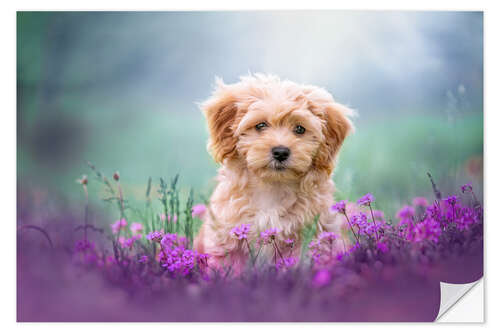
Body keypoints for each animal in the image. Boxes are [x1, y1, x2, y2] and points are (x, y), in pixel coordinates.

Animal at [193, 73, 354, 270]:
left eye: (299, 129)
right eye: (261, 125)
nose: (281, 152)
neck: (272, 187)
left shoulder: (312, 235)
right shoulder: (227, 238)